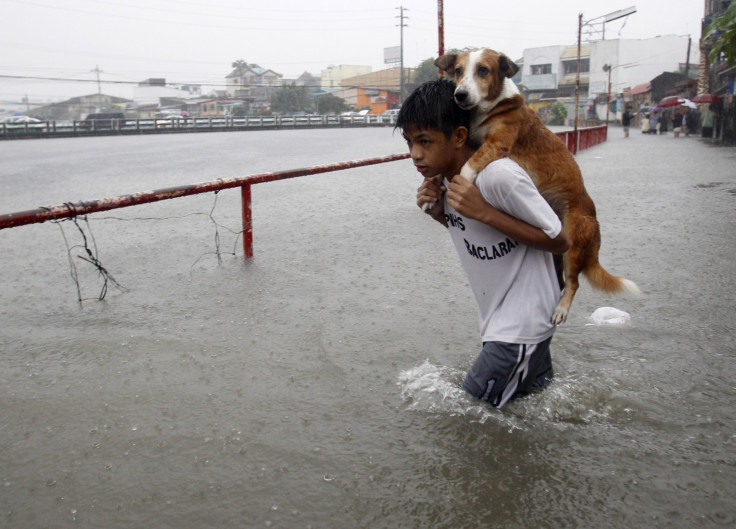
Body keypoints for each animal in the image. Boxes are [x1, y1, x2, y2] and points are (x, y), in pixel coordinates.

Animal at [436, 48, 640, 322]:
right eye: (458, 71)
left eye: (483, 70)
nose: (460, 95)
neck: (489, 108)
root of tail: (595, 228)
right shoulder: (472, 138)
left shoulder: (497, 144)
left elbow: (469, 164)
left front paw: (462, 182)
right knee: (562, 280)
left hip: (572, 245)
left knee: (574, 282)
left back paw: (561, 309)